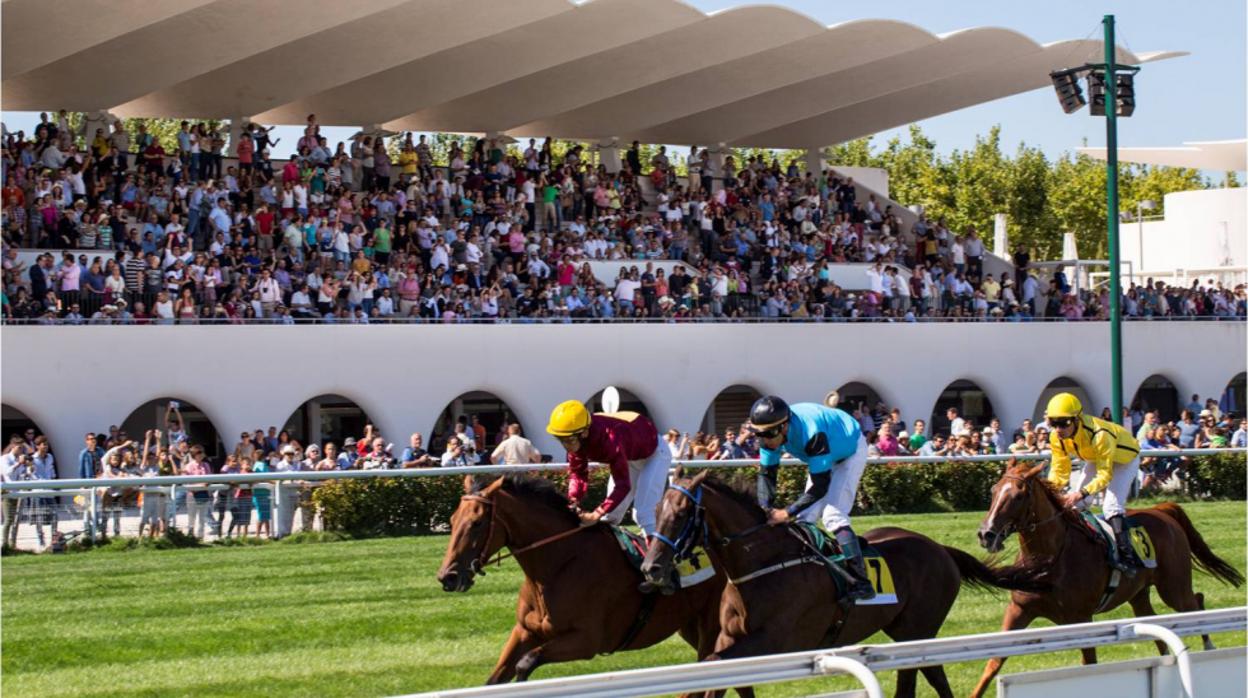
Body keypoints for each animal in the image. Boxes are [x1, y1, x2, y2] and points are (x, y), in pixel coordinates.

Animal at [436, 474, 738, 694]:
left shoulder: (588, 640)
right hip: (688, 624)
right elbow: (494, 680)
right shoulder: (524, 631)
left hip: (712, 625)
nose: (447, 576)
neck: (558, 564)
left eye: (476, 523)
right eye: (452, 519)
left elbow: (526, 663)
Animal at [638, 469, 1048, 698]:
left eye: (681, 513)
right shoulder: (730, 637)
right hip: (905, 632)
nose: (651, 568)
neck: (763, 563)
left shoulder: (774, 640)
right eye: (655, 511)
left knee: (925, 679)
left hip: (919, 630)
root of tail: (940, 549)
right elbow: (717, 677)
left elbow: (712, 669)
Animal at [968, 462, 1243, 694]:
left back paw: (1208, 645)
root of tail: (1162, 510)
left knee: (1195, 602)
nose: (985, 534)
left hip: (1173, 587)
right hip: (1139, 594)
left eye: (1018, 496)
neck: (1050, 558)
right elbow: (994, 662)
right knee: (1158, 626)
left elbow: (1089, 662)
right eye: (994, 490)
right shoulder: (1019, 609)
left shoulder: (1081, 619)